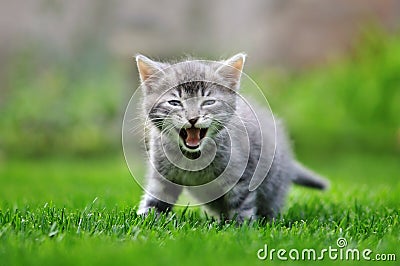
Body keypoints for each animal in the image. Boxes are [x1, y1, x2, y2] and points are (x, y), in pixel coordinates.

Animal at [134, 53, 328, 221]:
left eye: (208, 102)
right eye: (174, 103)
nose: (193, 118)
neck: (193, 157)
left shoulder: (242, 174)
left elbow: (241, 204)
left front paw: (242, 228)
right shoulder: (162, 174)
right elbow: (156, 198)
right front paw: (145, 220)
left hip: (274, 187)